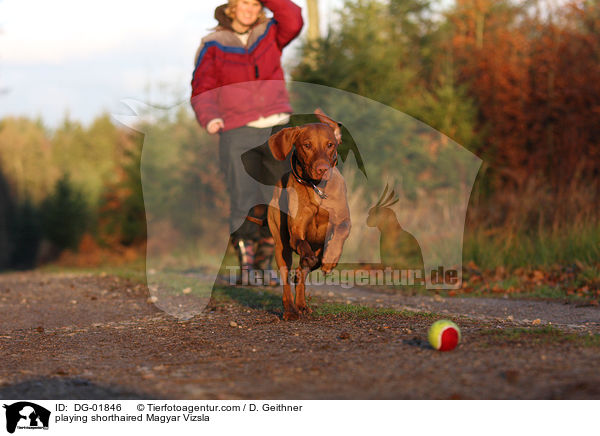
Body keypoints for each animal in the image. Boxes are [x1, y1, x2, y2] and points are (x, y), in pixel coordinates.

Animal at [268, 110, 352, 320]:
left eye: (330, 145)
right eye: (307, 145)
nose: (323, 169)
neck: (317, 189)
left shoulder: (344, 220)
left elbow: (340, 232)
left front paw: (331, 258)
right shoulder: (296, 231)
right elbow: (301, 243)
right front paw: (307, 255)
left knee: (301, 272)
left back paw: (302, 305)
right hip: (281, 246)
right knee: (287, 276)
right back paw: (291, 309)